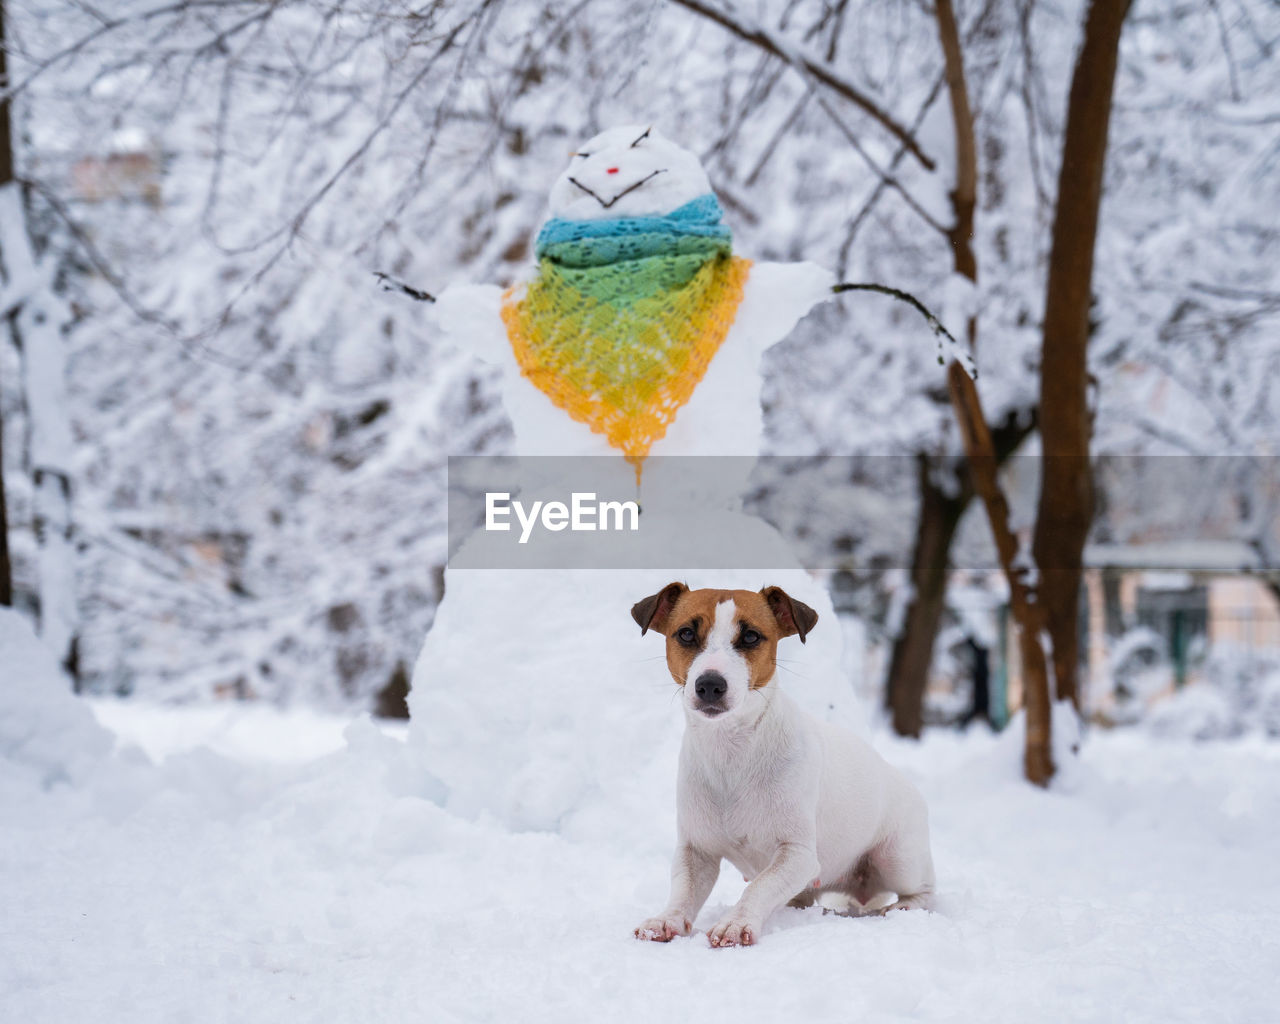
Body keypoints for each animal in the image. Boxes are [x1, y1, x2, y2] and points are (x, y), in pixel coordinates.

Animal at [634, 581, 936, 947]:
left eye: (751, 636)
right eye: (687, 633)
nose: (710, 684)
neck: (732, 752)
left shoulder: (798, 854)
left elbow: (760, 886)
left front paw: (735, 923)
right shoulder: (697, 850)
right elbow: (683, 889)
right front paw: (667, 919)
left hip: (898, 858)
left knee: (926, 891)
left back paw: (905, 907)